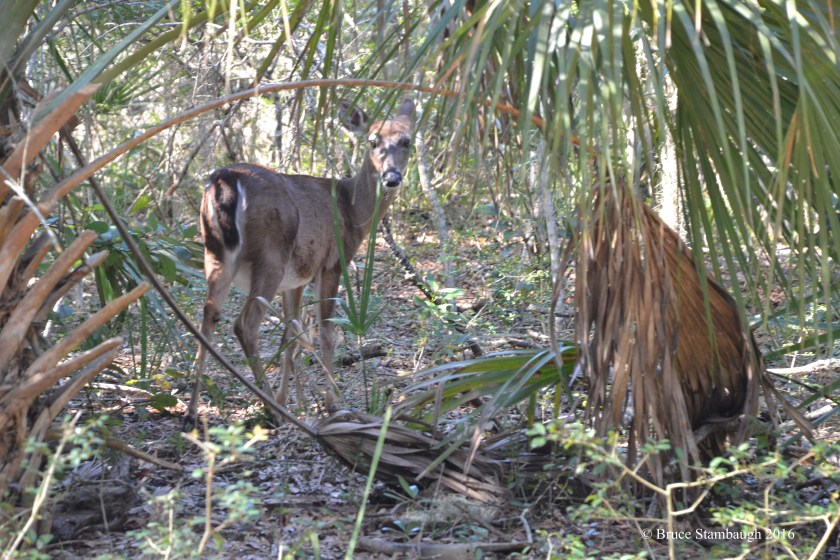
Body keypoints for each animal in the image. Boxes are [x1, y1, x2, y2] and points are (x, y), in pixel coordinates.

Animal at [184, 99, 416, 430]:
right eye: (373, 141)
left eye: (406, 141)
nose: (392, 177)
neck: (352, 211)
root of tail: (224, 181)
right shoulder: (332, 262)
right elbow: (327, 333)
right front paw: (332, 403)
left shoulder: (295, 279)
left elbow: (291, 336)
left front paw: (288, 399)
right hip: (269, 257)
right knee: (244, 324)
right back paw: (272, 411)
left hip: (215, 254)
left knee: (208, 315)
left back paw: (192, 413)